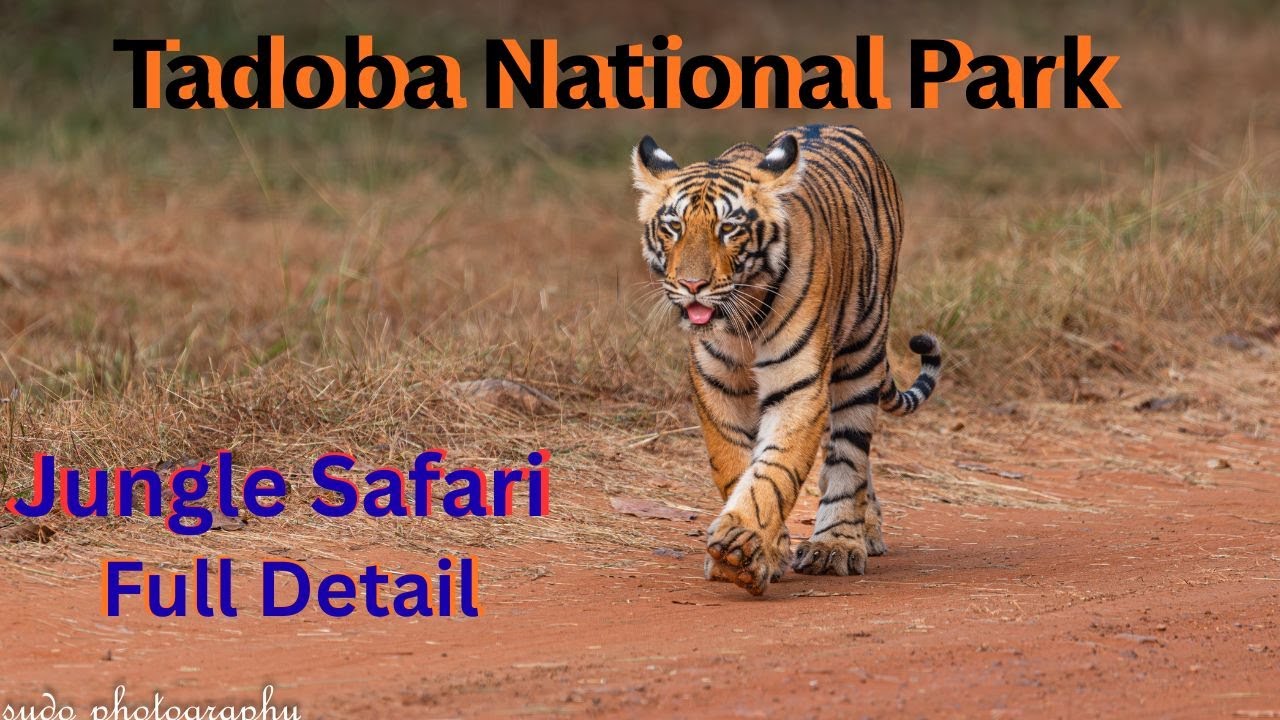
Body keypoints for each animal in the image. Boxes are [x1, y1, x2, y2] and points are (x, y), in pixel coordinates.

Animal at [630, 124, 942, 596]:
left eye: (728, 228)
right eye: (673, 227)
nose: (692, 285)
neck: (742, 319)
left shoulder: (799, 386)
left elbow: (773, 471)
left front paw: (741, 544)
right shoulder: (717, 383)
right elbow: (735, 463)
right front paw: (766, 550)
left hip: (861, 357)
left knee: (849, 456)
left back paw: (838, 545)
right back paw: (865, 530)